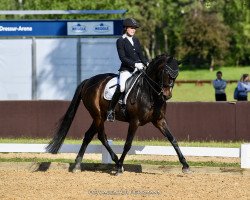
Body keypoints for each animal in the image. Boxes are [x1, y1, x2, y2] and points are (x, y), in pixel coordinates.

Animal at [46, 54, 189, 174]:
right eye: (166, 72)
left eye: (176, 74)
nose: (167, 95)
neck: (149, 93)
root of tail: (88, 81)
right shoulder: (134, 121)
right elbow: (127, 144)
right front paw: (120, 167)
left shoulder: (159, 120)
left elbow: (173, 140)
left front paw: (185, 165)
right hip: (98, 116)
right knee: (101, 136)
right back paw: (115, 163)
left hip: (100, 117)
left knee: (89, 135)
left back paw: (79, 164)